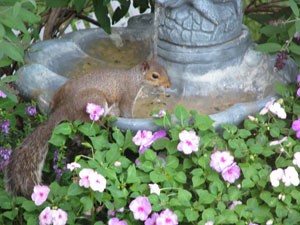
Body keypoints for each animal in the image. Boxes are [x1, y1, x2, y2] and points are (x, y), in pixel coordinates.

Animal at [4, 58, 171, 197]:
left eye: (165, 69)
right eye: (155, 75)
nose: (169, 85)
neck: (134, 78)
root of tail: (64, 108)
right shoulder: (127, 95)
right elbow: (126, 111)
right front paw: (130, 118)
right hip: (96, 101)